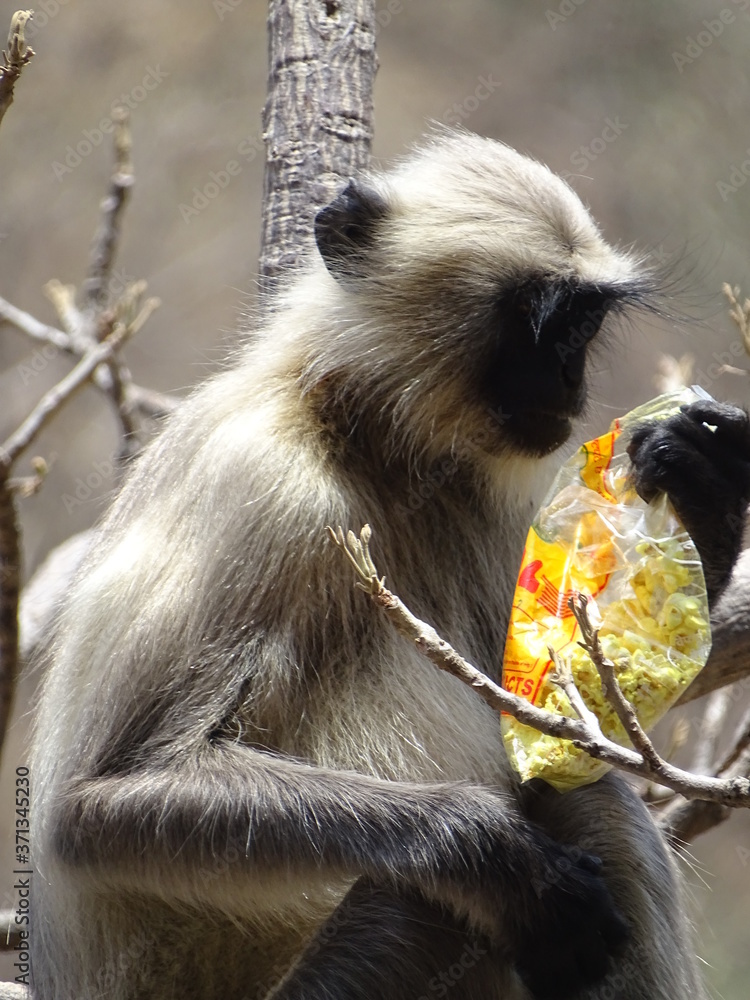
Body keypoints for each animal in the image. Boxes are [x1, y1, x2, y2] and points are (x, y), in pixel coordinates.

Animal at [28, 130, 750, 1000]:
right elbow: (95, 805)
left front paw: (705, 485)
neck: (359, 431)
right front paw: (502, 859)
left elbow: (564, 720)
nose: (569, 378)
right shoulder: (259, 478)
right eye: (544, 323)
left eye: (582, 328)